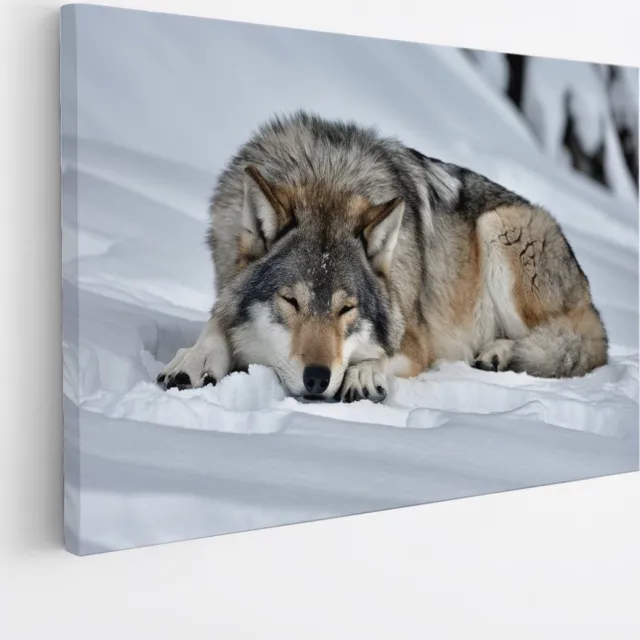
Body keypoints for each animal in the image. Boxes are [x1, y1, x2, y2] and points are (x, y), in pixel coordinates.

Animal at [157, 111, 608, 403]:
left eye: (347, 309)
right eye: (291, 302)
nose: (317, 378)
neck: (327, 176)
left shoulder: (416, 340)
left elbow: (382, 353)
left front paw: (362, 372)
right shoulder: (226, 281)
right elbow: (218, 323)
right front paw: (194, 359)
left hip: (499, 229)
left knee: (571, 344)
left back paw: (500, 353)